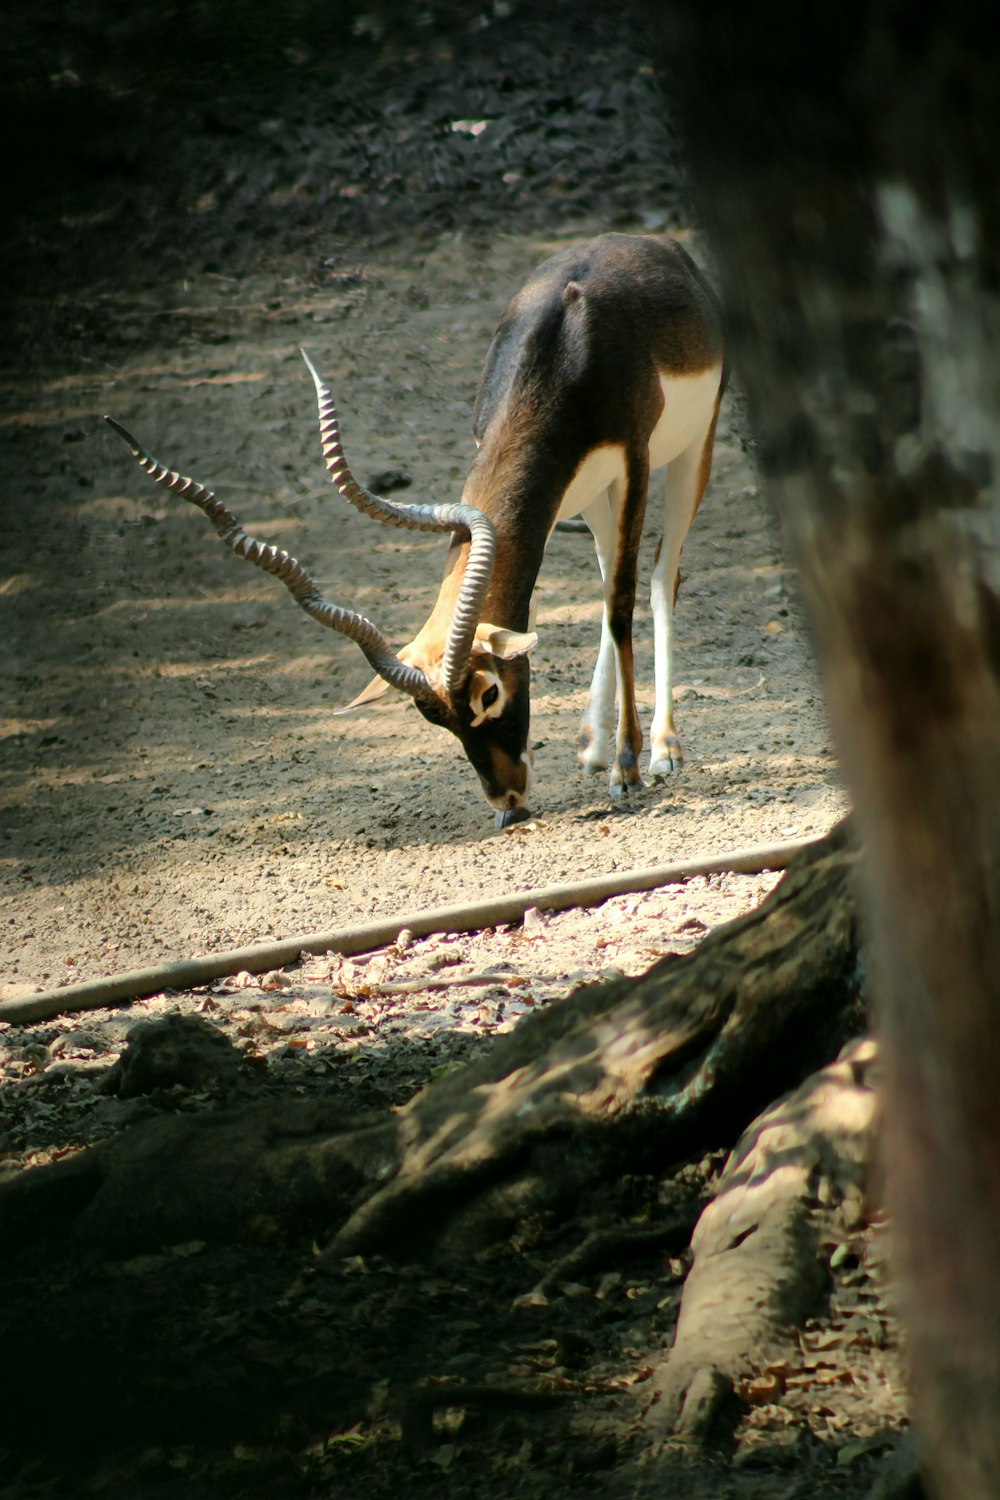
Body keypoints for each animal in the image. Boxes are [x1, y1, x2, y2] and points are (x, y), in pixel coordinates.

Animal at [103, 228, 728, 828]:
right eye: (434, 718)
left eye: (489, 691)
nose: (508, 799)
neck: (563, 354)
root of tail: (661, 248)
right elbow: (603, 596)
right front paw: (597, 759)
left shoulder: (633, 462)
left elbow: (623, 603)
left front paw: (628, 770)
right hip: (591, 495)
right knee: (606, 583)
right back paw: (593, 747)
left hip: (690, 450)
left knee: (661, 576)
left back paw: (662, 750)